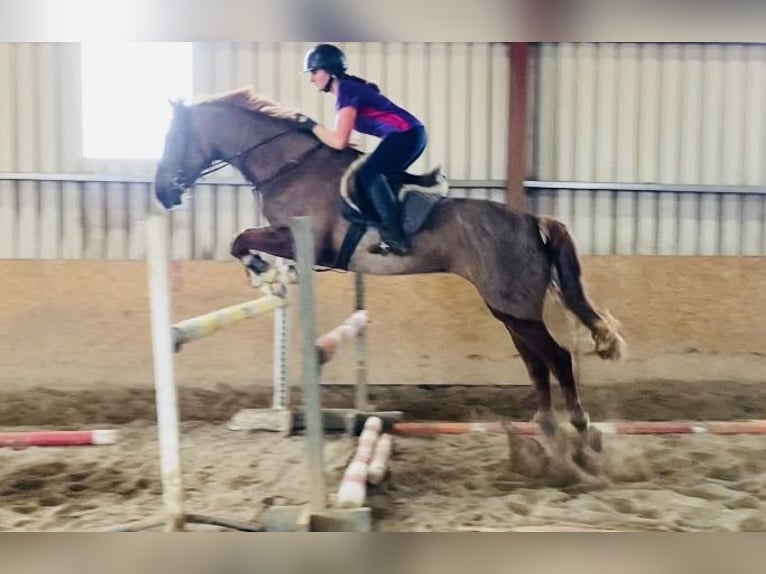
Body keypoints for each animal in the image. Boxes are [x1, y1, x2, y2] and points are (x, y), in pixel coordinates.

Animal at [153, 86, 628, 446]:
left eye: (173, 139)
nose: (162, 192)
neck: (288, 165)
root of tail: (532, 221)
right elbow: (242, 239)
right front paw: (266, 275)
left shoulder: (304, 240)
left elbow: (242, 240)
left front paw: (261, 272)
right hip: (509, 310)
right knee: (536, 362)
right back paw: (545, 427)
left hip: (517, 309)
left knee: (557, 358)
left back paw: (578, 426)